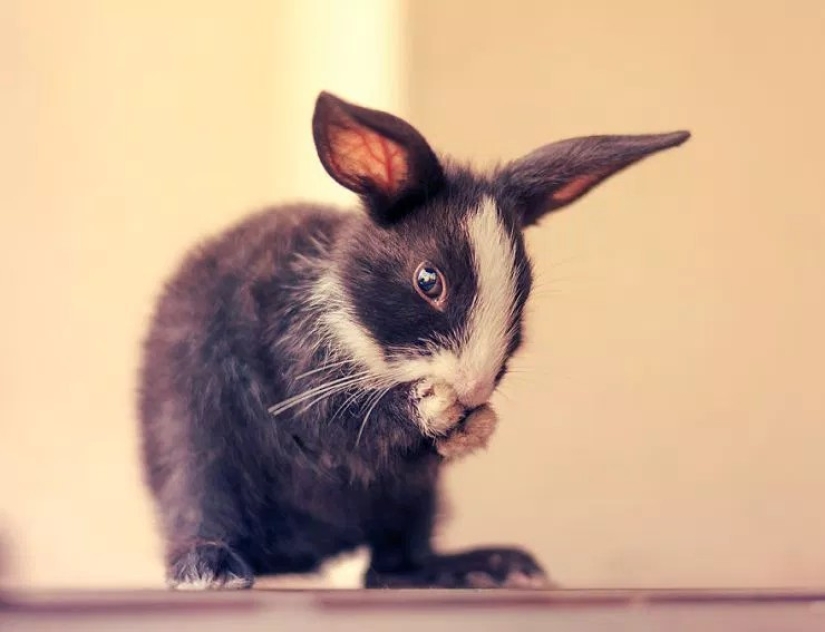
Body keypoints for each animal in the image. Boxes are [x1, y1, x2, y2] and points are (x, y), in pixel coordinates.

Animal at [138, 91, 690, 590]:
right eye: (429, 280)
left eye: (524, 289)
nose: (474, 390)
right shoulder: (300, 376)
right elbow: (350, 424)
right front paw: (442, 408)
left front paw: (475, 424)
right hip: (197, 454)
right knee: (203, 505)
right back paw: (210, 570)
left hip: (414, 505)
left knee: (392, 568)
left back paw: (488, 567)